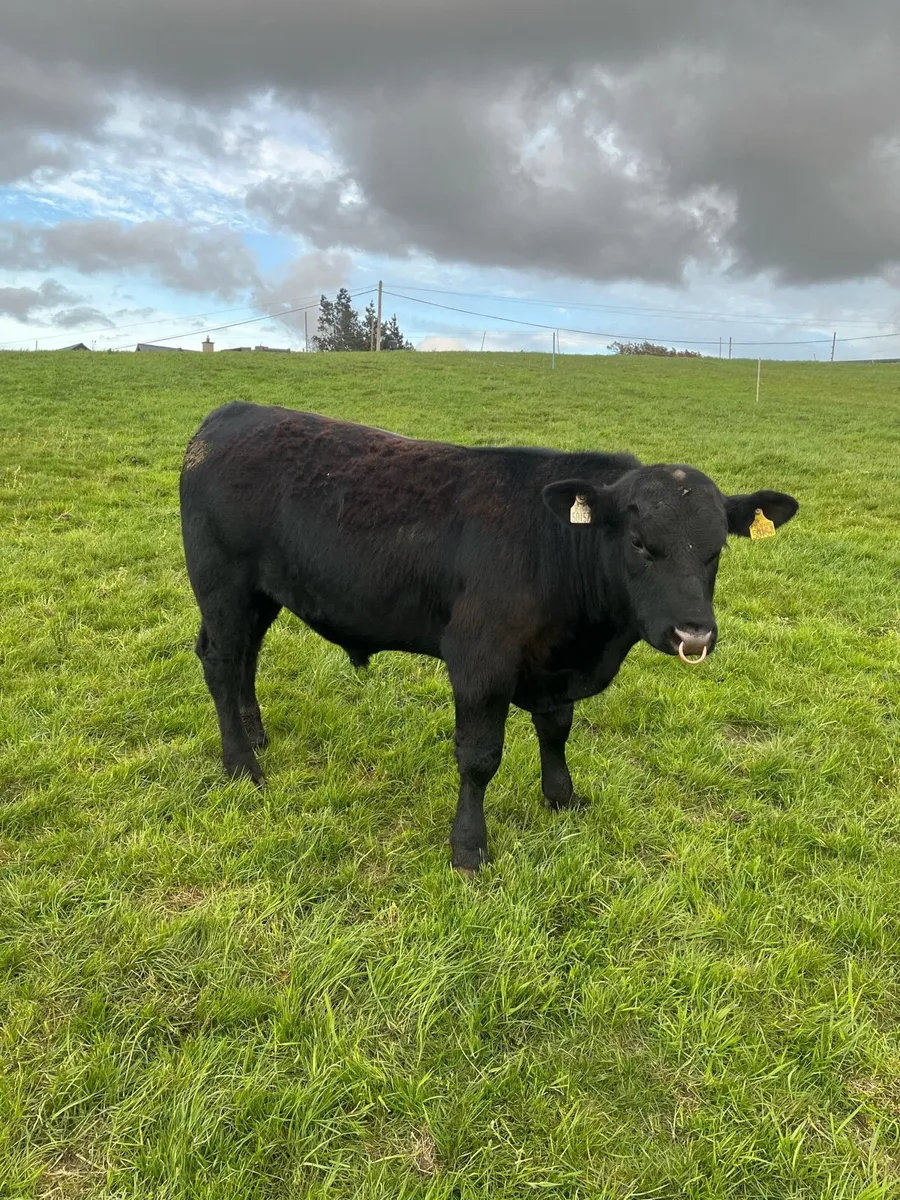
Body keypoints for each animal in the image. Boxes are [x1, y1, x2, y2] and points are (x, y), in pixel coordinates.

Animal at [179, 402, 798, 875]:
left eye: (717, 547)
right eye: (641, 543)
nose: (694, 632)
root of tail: (232, 414)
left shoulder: (554, 667)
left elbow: (556, 731)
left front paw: (562, 797)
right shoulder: (480, 661)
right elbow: (479, 758)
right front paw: (469, 847)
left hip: (260, 594)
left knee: (246, 658)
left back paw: (256, 736)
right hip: (222, 584)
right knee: (220, 660)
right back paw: (241, 764)